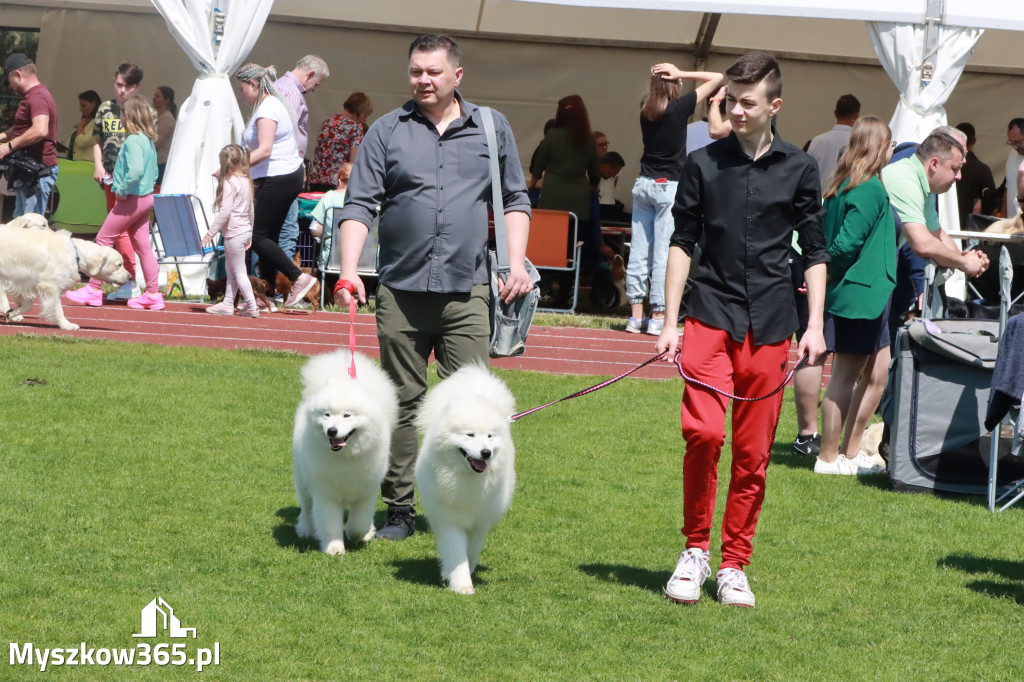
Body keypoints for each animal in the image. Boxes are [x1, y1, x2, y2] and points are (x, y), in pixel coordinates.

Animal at [0, 223, 132, 329]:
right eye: (119, 264)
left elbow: (28, 304)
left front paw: (12, 313)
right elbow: (58, 309)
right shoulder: (50, 286)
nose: (130, 277)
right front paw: (66, 325)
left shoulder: (24, 282)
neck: (75, 253)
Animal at [294, 350, 397, 552]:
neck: (346, 457)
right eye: (326, 414)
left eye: (347, 415)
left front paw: (357, 534)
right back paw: (305, 529)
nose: (331, 431)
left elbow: (359, 522)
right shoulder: (326, 493)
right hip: (302, 479)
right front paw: (334, 548)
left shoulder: (366, 491)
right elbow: (329, 523)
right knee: (306, 507)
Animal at [413, 364, 516, 593]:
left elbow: (471, 550)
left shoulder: (480, 522)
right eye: (469, 435)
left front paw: (463, 573)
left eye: (490, 436)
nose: (486, 452)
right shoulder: (449, 519)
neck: (468, 478)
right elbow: (456, 552)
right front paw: (461, 584)